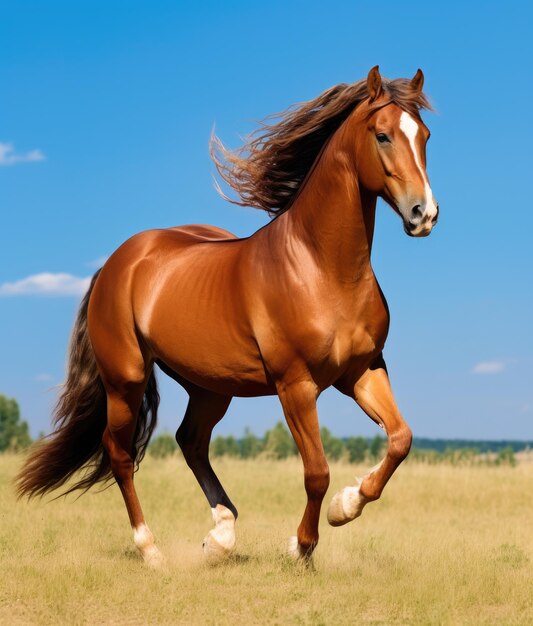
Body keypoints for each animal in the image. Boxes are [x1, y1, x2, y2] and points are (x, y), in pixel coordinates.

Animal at [18, 66, 438, 564]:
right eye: (382, 135)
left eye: (425, 135)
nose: (424, 214)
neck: (320, 268)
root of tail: (117, 263)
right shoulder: (296, 385)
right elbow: (316, 471)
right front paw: (301, 546)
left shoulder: (363, 370)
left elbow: (401, 439)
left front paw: (346, 506)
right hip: (126, 379)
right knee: (119, 453)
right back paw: (151, 550)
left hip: (210, 386)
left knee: (190, 441)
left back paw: (220, 535)